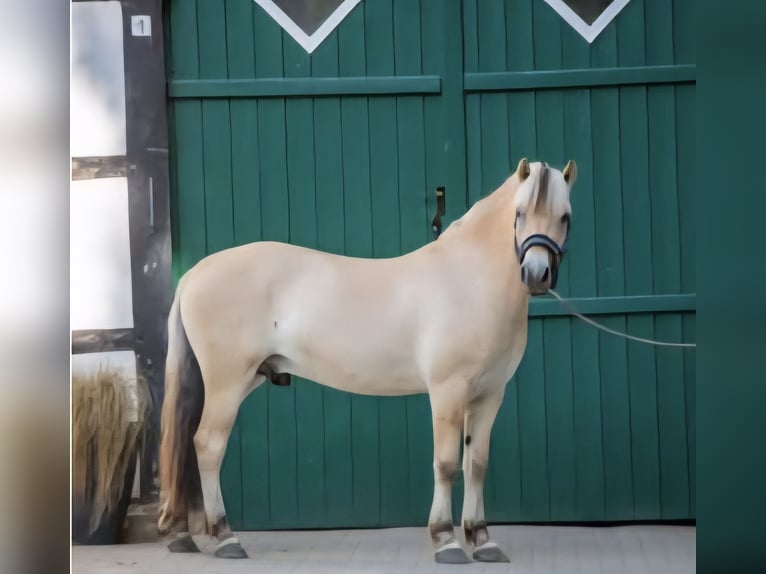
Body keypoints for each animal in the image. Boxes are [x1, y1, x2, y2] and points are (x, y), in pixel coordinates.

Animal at [157, 157, 577, 563]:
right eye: (519, 213)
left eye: (565, 217)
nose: (536, 275)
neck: (467, 280)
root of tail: (193, 274)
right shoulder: (448, 393)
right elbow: (445, 464)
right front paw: (446, 541)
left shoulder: (489, 396)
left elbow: (476, 464)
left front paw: (483, 541)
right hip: (227, 384)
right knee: (208, 445)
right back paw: (225, 537)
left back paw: (193, 535)